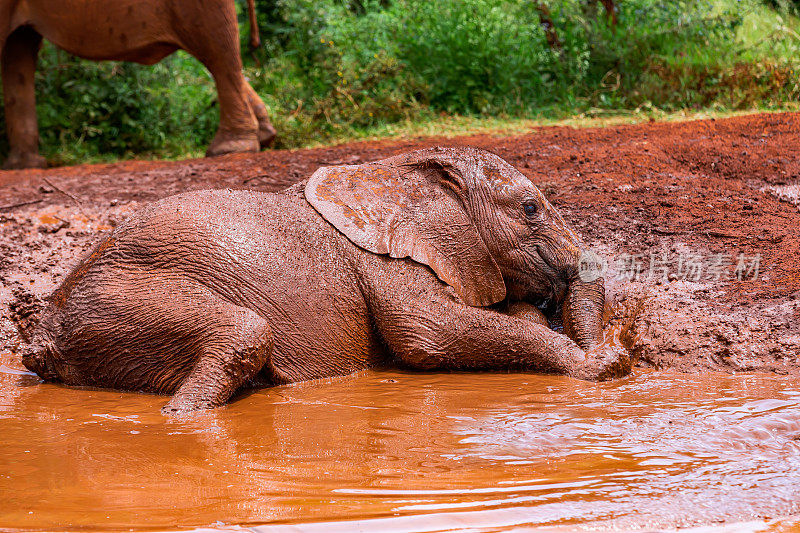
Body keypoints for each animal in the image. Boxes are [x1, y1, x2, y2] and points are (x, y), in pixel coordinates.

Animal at [21, 147, 632, 416]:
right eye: (530, 209)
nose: (617, 348)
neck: (405, 168)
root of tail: (43, 335)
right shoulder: (383, 260)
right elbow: (428, 333)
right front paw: (601, 368)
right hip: (117, 296)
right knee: (244, 334)